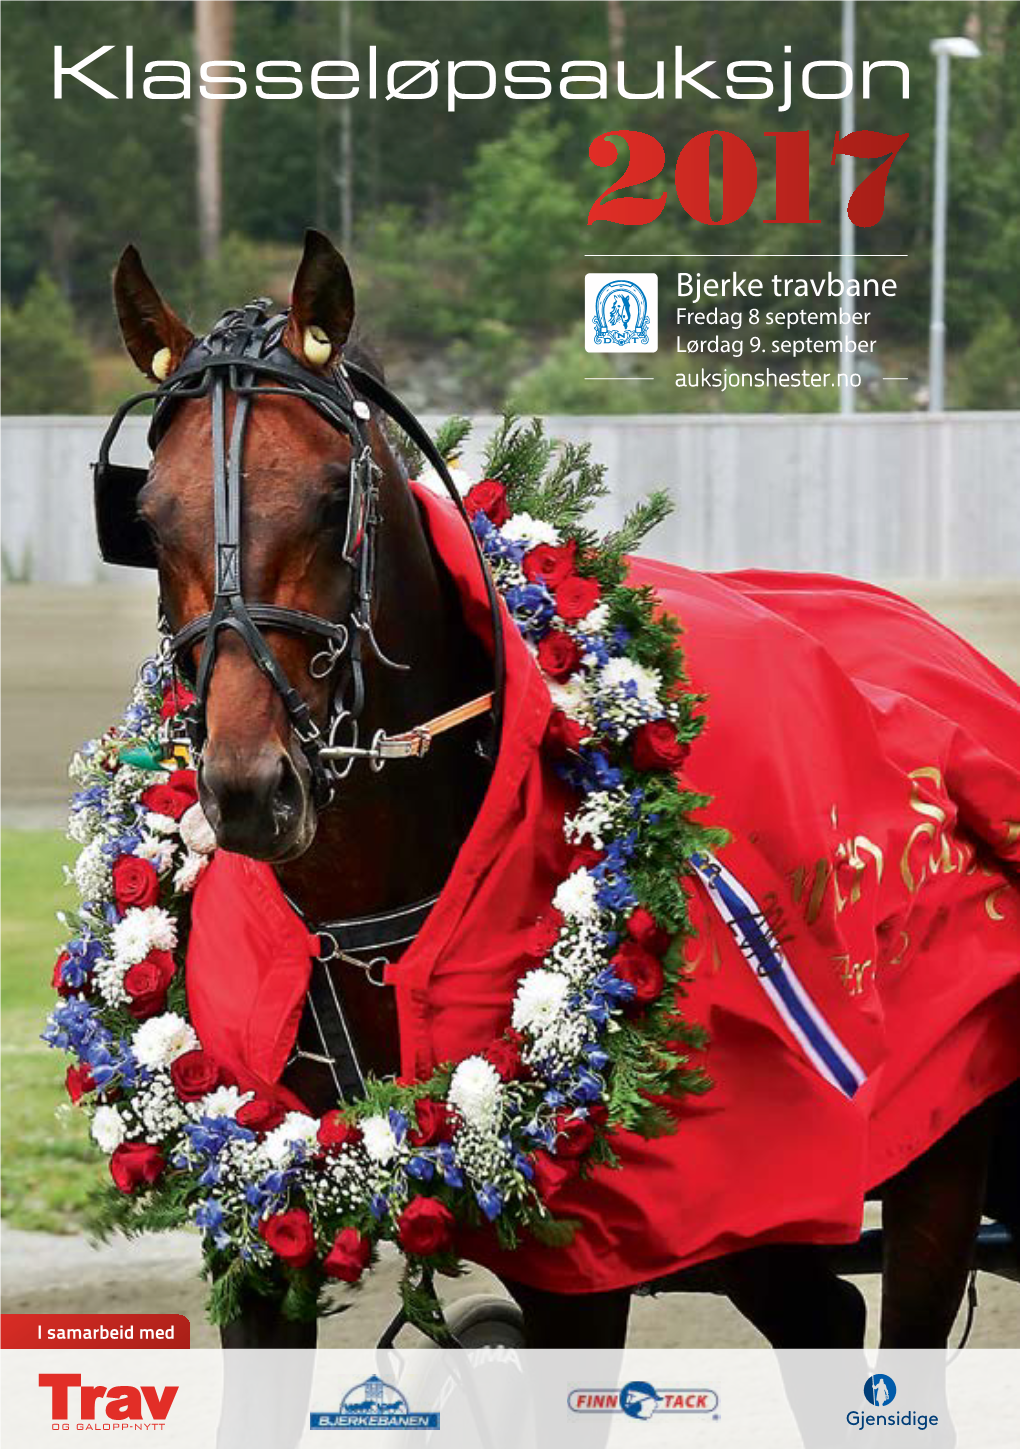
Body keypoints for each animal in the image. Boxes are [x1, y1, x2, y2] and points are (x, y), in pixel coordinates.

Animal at [107, 223, 1014, 1379]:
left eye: (329, 495)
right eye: (144, 516)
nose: (251, 788)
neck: (367, 917)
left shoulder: (587, 1264)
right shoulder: (263, 1210)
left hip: (933, 1155)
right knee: (821, 1317)